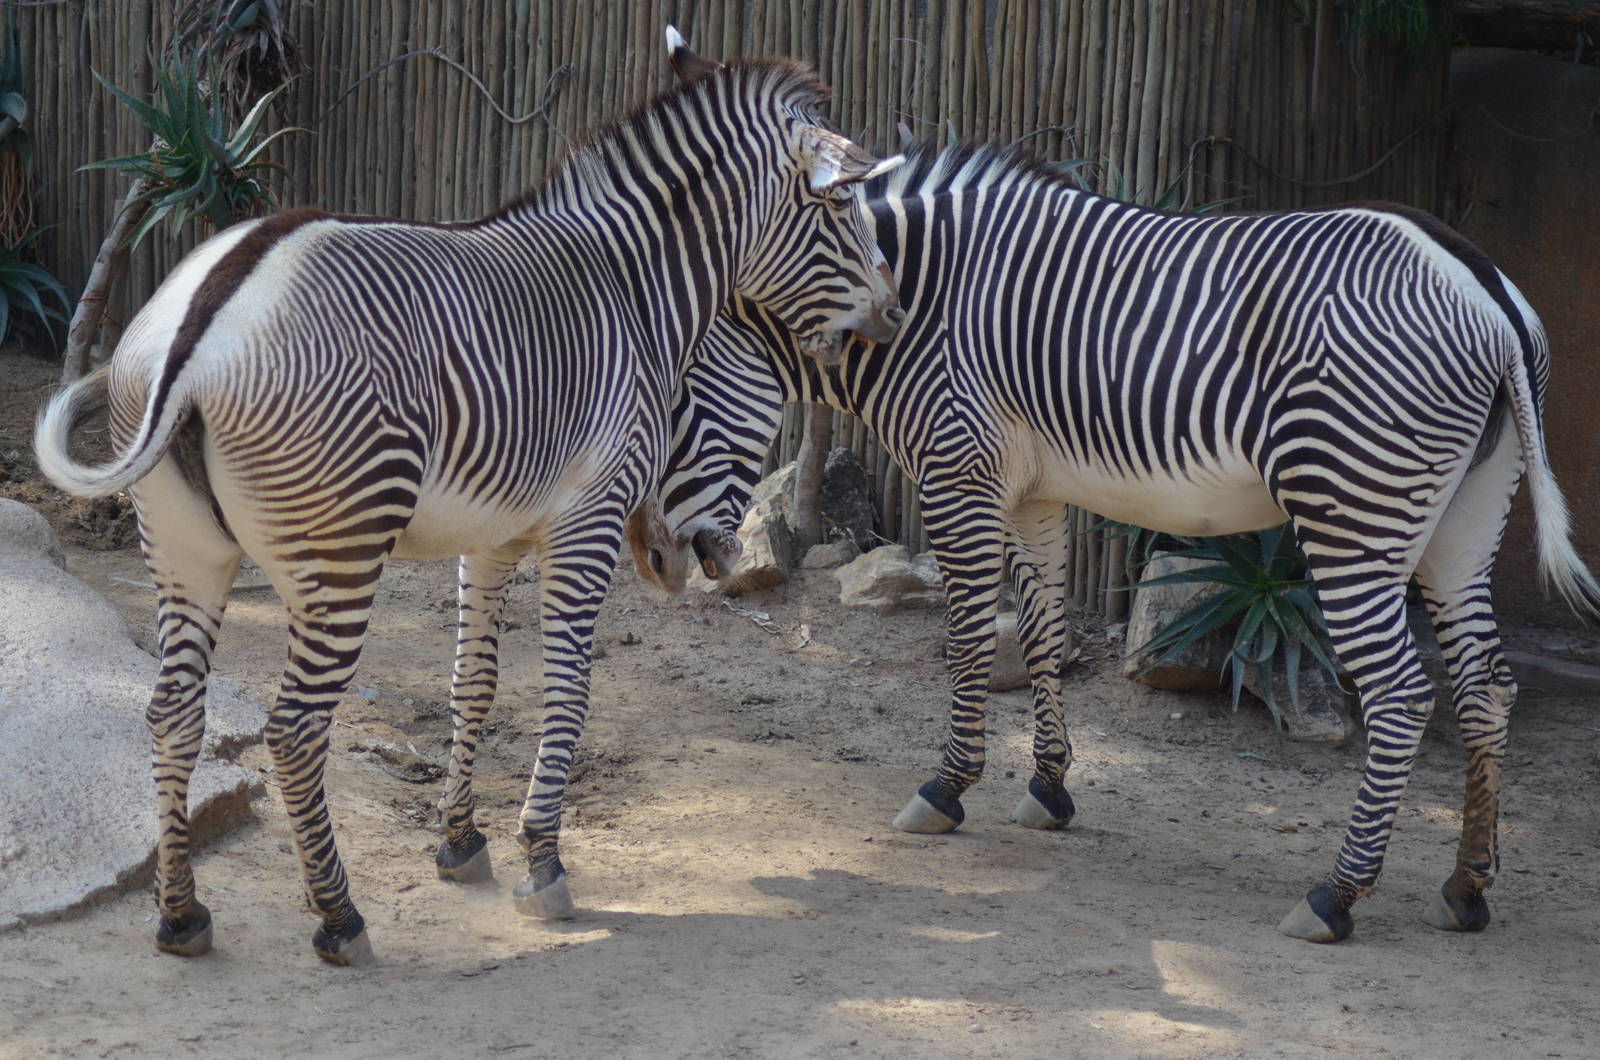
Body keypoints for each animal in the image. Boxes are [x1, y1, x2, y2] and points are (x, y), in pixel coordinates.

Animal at [33, 33, 903, 966]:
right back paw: (338, 917)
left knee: (171, 712)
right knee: (295, 728)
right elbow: (568, 687)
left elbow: (473, 683)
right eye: (840, 207)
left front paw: (460, 842)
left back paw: (180, 914)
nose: (894, 313)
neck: (636, 293)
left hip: (182, 548)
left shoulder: (491, 536)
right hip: (340, 552)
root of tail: (203, 314)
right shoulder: (588, 522)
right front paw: (543, 860)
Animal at [629, 139, 1600, 944]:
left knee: (1401, 693)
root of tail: (1480, 282)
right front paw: (1049, 787)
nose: (650, 562)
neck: (912, 304)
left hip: (1350, 507)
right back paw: (1466, 886)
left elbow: (967, 642)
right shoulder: (1032, 493)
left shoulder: (958, 475)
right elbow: (1044, 636)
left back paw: (1336, 895)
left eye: (667, 400)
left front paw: (946, 789)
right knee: (1486, 687)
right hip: (1465, 517)